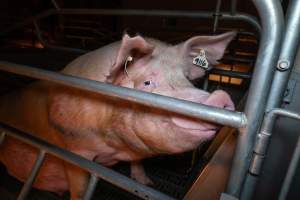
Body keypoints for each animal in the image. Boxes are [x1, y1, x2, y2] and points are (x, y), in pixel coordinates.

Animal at [0, 31, 236, 198]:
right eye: (147, 82)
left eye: (187, 78)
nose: (220, 97)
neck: (115, 145)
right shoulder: (74, 149)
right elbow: (80, 187)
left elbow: (138, 164)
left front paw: (145, 183)